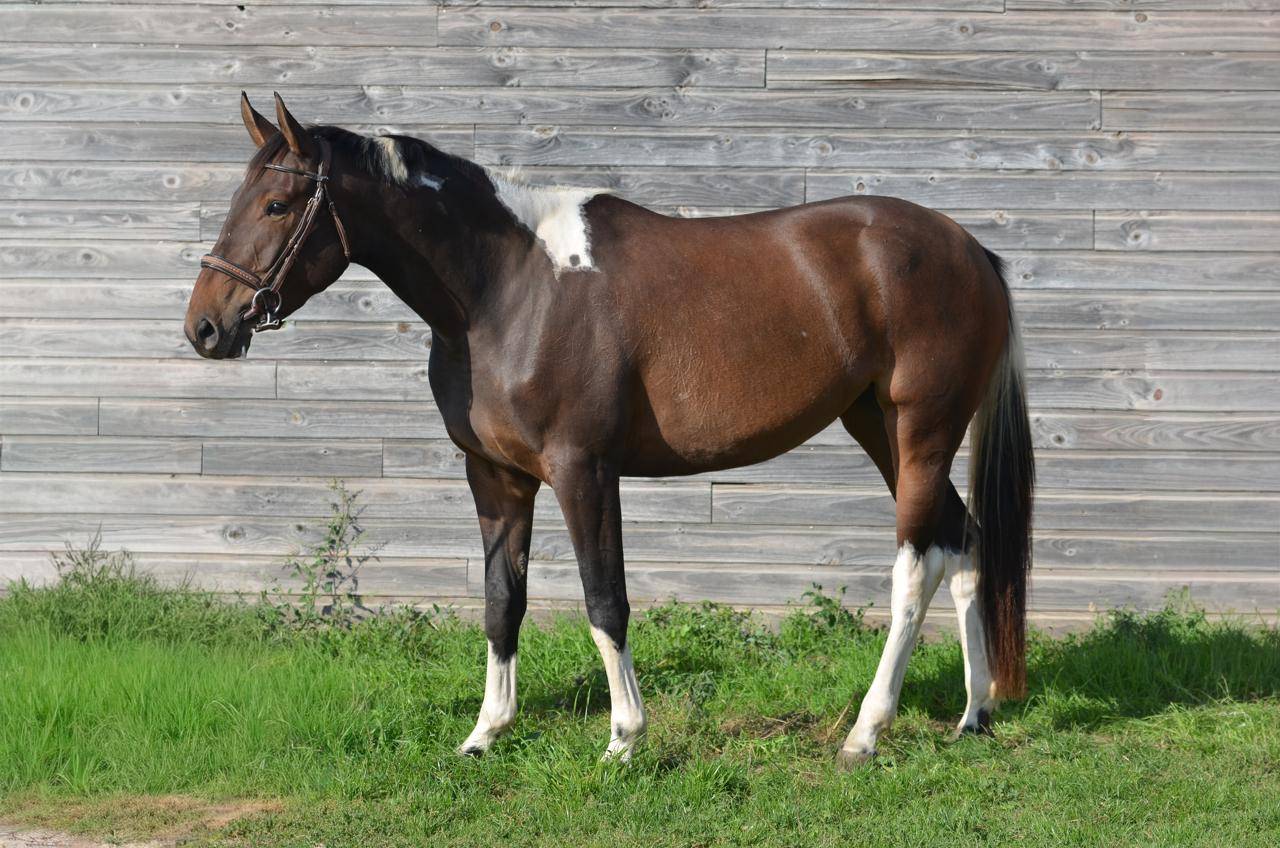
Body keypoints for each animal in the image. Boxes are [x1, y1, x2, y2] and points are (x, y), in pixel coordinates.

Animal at [186, 93, 1034, 767]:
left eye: (276, 206)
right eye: (238, 198)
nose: (205, 327)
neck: (507, 290)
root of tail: (972, 253)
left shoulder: (581, 469)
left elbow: (605, 599)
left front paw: (625, 737)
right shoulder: (497, 477)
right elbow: (502, 600)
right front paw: (486, 732)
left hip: (921, 431)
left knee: (915, 569)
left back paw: (866, 731)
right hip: (877, 427)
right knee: (965, 544)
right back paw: (974, 714)